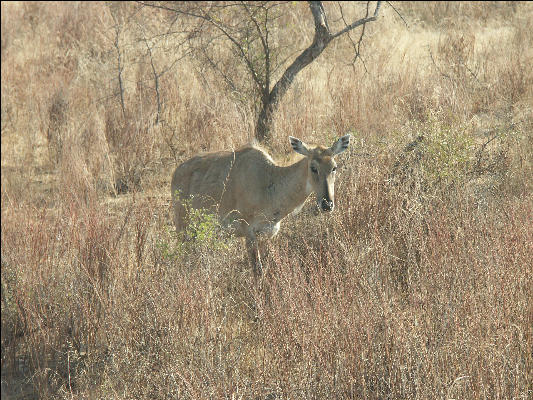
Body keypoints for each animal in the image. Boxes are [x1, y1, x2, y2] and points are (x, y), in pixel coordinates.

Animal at [172, 135, 352, 276]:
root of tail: (176, 173)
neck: (268, 183)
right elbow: (257, 270)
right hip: (183, 227)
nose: (327, 204)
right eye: (313, 167)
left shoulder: (267, 234)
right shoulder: (248, 232)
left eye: (334, 167)